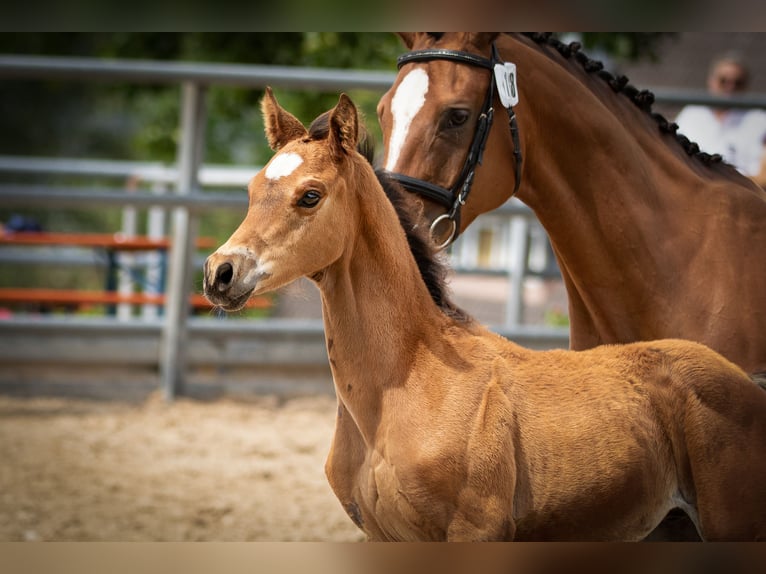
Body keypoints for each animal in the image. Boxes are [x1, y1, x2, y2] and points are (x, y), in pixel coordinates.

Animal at [204, 91, 766, 544]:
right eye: (251, 191)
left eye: (310, 195)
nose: (220, 273)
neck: (408, 379)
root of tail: (748, 384)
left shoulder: (475, 531)